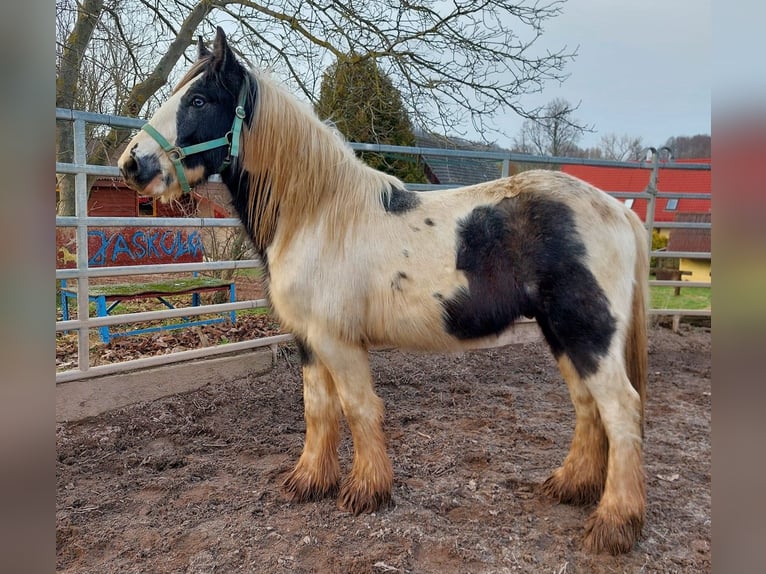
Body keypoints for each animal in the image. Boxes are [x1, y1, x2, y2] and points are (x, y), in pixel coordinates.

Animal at [118, 28, 648, 560]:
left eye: (199, 99)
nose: (131, 163)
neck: (318, 216)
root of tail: (620, 212)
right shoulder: (308, 340)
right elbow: (318, 409)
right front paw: (309, 482)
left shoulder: (337, 341)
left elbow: (358, 408)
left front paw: (366, 491)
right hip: (561, 334)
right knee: (588, 406)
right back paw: (571, 487)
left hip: (587, 333)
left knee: (621, 410)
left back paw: (614, 523)